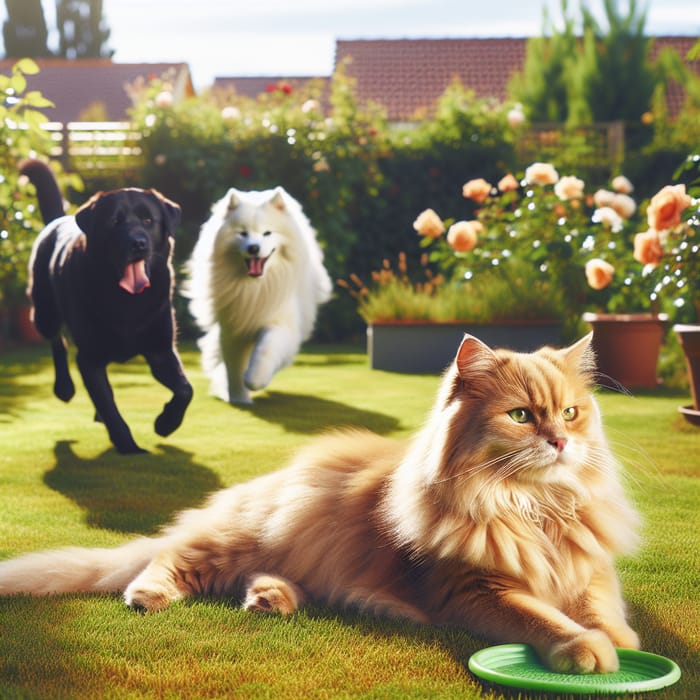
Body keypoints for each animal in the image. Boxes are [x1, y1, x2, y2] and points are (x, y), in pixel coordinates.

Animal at [0, 336, 640, 676]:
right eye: (522, 416)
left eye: (571, 413)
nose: (559, 441)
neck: (532, 507)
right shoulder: (471, 589)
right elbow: (540, 615)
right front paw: (586, 649)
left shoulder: (589, 571)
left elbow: (606, 613)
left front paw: (621, 644)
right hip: (245, 535)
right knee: (172, 559)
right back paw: (149, 596)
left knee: (260, 576)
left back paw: (270, 600)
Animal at [21, 159, 193, 454]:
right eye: (114, 221)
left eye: (148, 221)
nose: (138, 243)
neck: (128, 302)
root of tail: (59, 220)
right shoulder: (90, 357)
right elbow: (108, 403)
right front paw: (129, 447)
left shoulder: (161, 350)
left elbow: (185, 390)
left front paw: (166, 424)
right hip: (44, 311)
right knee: (57, 340)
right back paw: (64, 388)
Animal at [186, 187, 334, 404]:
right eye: (242, 233)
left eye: (267, 233)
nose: (253, 248)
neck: (254, 288)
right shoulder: (232, 331)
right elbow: (233, 369)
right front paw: (238, 398)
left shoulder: (278, 323)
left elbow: (264, 351)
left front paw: (255, 380)